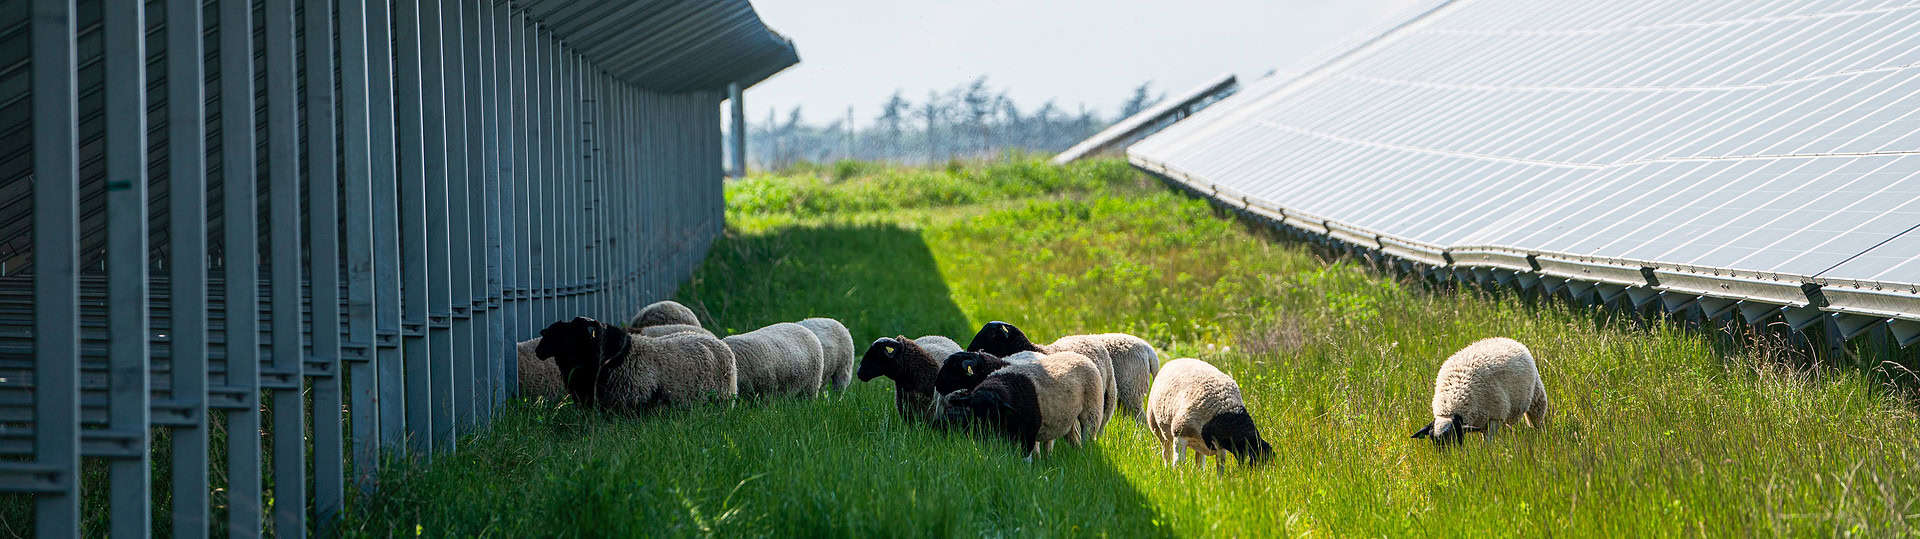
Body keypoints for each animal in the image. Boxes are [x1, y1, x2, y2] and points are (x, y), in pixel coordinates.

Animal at [937, 351, 1106, 460]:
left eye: (953, 368)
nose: (938, 386)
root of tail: (1081, 357)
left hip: (1092, 411)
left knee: (1087, 436)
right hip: (1065, 418)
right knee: (1069, 439)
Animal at [1411, 337, 1548, 446]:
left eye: (1453, 436)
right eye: (1433, 440)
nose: (1448, 458)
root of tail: (1508, 339)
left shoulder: (1494, 417)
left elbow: (1488, 443)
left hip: (1536, 394)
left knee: (1536, 418)